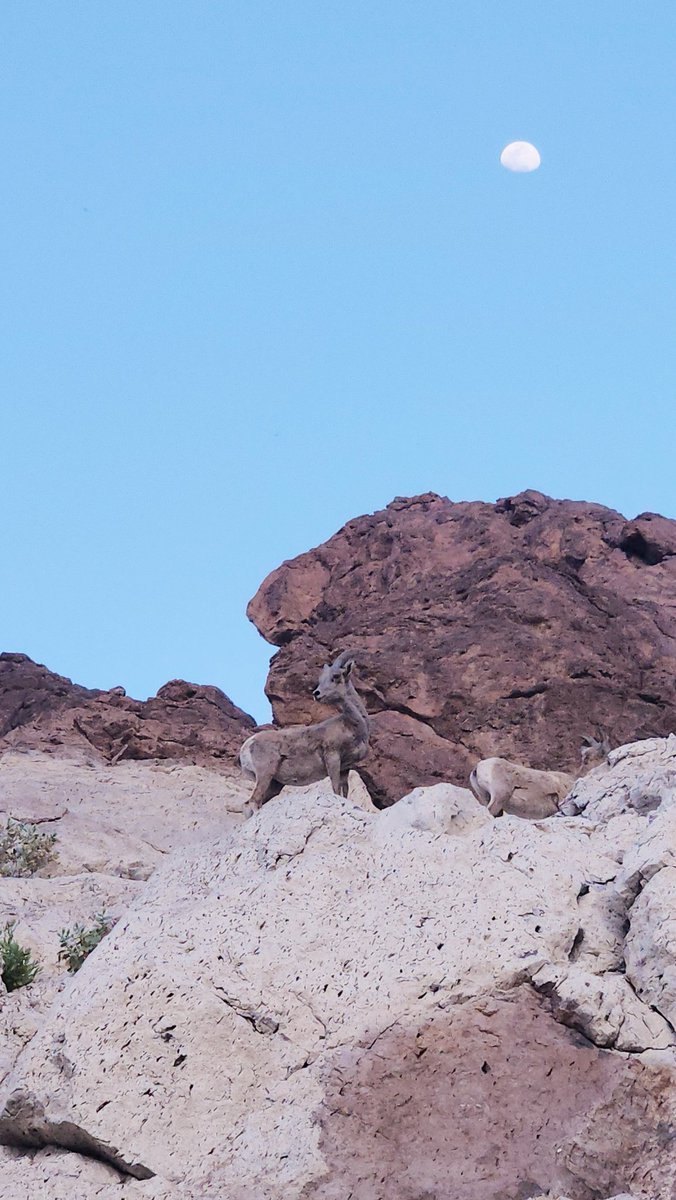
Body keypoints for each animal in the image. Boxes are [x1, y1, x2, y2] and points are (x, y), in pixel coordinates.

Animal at [239, 651, 370, 815]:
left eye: (336, 676)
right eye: (321, 679)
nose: (316, 693)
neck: (354, 724)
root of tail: (247, 746)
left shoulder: (345, 768)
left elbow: (344, 792)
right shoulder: (332, 757)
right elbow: (335, 789)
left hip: (273, 785)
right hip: (265, 775)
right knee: (253, 802)